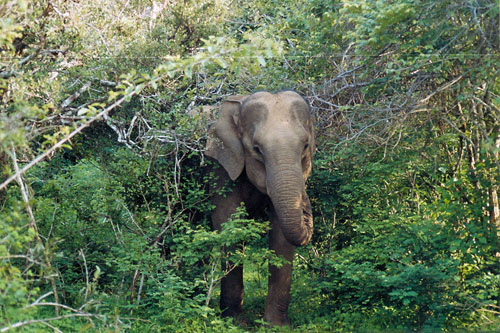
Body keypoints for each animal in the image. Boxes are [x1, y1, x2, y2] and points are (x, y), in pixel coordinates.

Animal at [204, 90, 314, 324]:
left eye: (306, 146)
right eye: (256, 149)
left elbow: (280, 233)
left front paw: (276, 325)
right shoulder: (221, 165)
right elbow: (228, 222)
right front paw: (235, 322)